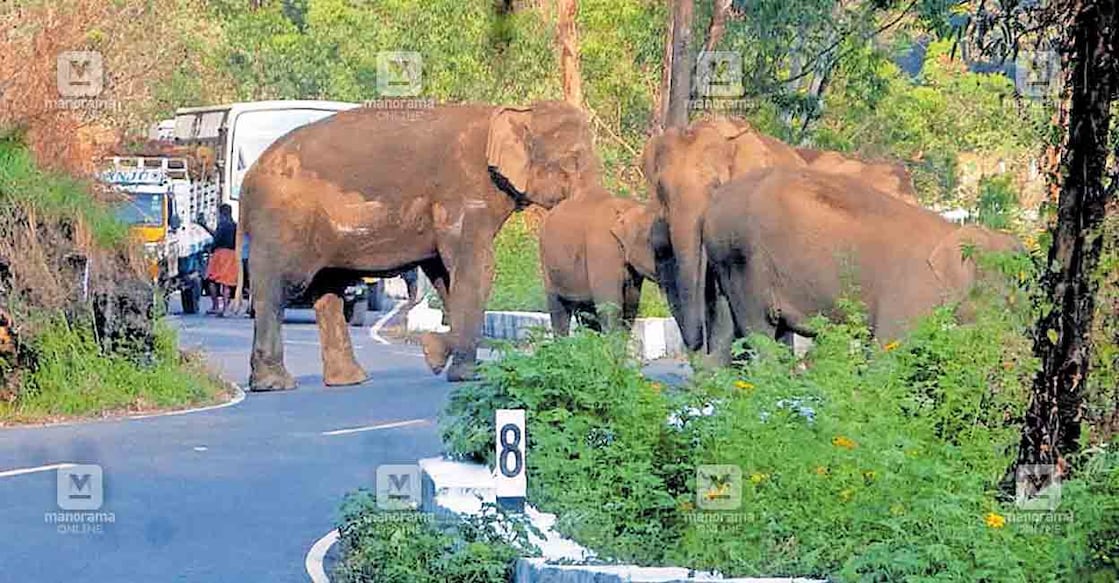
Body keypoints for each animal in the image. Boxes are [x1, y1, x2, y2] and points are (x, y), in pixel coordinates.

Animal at [239, 101, 599, 389]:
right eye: (575, 159)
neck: (516, 112)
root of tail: (248, 177)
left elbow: (445, 274)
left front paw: (448, 362)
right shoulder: (464, 192)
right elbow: (476, 268)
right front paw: (442, 360)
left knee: (328, 290)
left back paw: (348, 381)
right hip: (282, 222)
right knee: (281, 287)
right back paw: (275, 384)